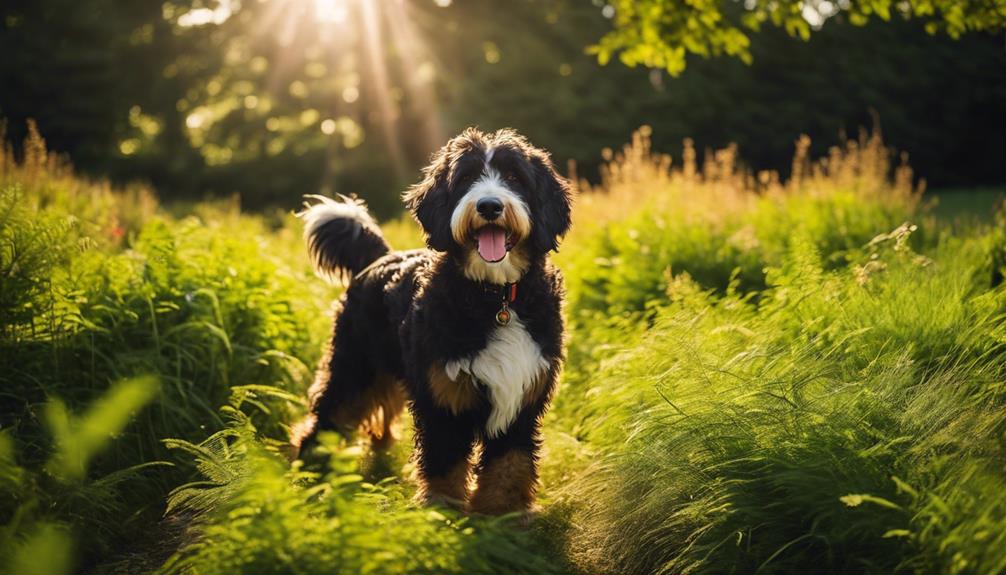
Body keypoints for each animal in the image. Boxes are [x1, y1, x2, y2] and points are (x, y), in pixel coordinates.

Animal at [293, 128, 571, 514]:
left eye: (515, 178)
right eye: (466, 178)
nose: (489, 206)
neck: (497, 298)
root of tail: (382, 258)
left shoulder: (523, 398)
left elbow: (510, 463)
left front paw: (504, 512)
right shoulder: (444, 397)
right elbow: (445, 461)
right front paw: (444, 511)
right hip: (354, 366)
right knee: (330, 413)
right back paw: (312, 467)